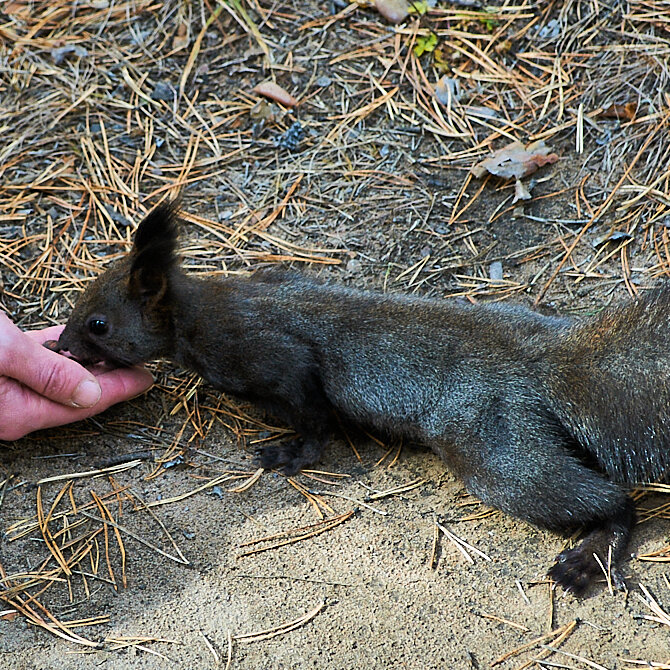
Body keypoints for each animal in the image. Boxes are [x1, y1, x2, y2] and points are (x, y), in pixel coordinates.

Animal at [55, 202, 670, 596]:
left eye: (98, 324)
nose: (61, 347)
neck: (200, 310)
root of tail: (545, 360)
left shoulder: (266, 351)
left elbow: (312, 413)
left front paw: (291, 454)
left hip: (493, 445)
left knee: (605, 497)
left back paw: (590, 554)